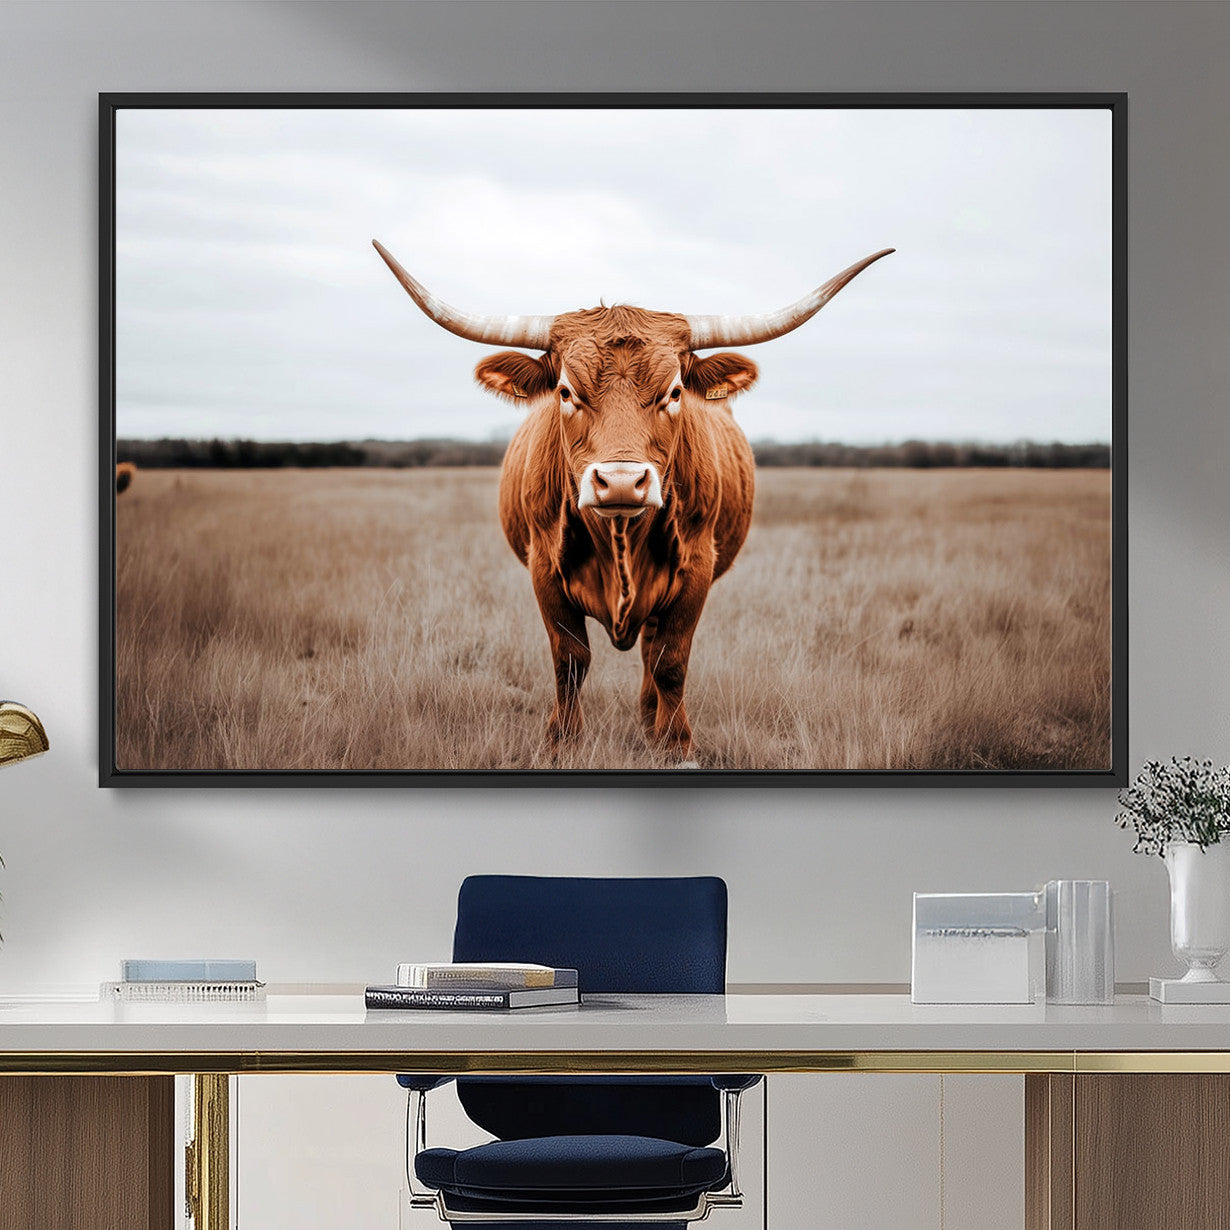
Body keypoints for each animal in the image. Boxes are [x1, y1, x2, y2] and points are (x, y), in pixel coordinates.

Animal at [374, 240, 892, 758]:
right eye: (566, 391)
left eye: (675, 392)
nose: (621, 482)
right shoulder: (544, 567)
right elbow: (570, 660)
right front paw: (562, 743)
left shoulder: (696, 569)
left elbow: (670, 661)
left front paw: (676, 744)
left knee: (650, 650)